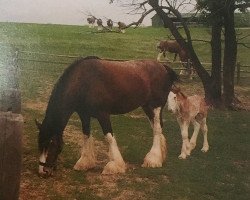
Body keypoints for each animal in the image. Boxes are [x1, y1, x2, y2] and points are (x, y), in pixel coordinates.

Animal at [36, 55, 179, 177]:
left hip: (155, 106)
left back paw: (153, 159)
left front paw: (115, 166)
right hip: (147, 107)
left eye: (52, 143)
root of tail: (163, 67)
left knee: (157, 129)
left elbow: (109, 137)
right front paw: (85, 162)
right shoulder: (84, 115)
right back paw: (159, 156)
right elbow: (86, 135)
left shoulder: (103, 114)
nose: (43, 171)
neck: (84, 82)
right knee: (157, 127)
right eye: (39, 143)